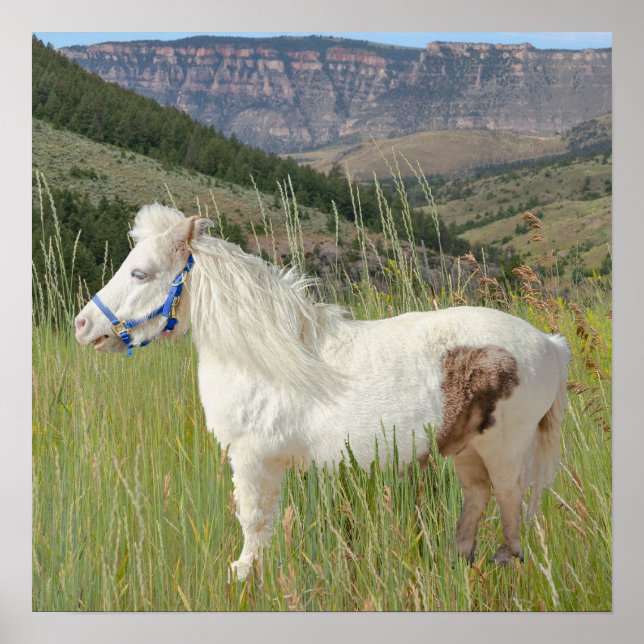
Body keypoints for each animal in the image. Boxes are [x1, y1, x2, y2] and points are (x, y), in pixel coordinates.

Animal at [74, 204, 570, 581]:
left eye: (140, 273)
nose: (83, 325)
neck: (264, 356)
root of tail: (549, 343)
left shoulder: (253, 459)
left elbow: (253, 519)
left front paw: (243, 575)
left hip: (505, 450)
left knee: (509, 504)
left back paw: (504, 563)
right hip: (466, 450)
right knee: (477, 497)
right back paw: (456, 559)